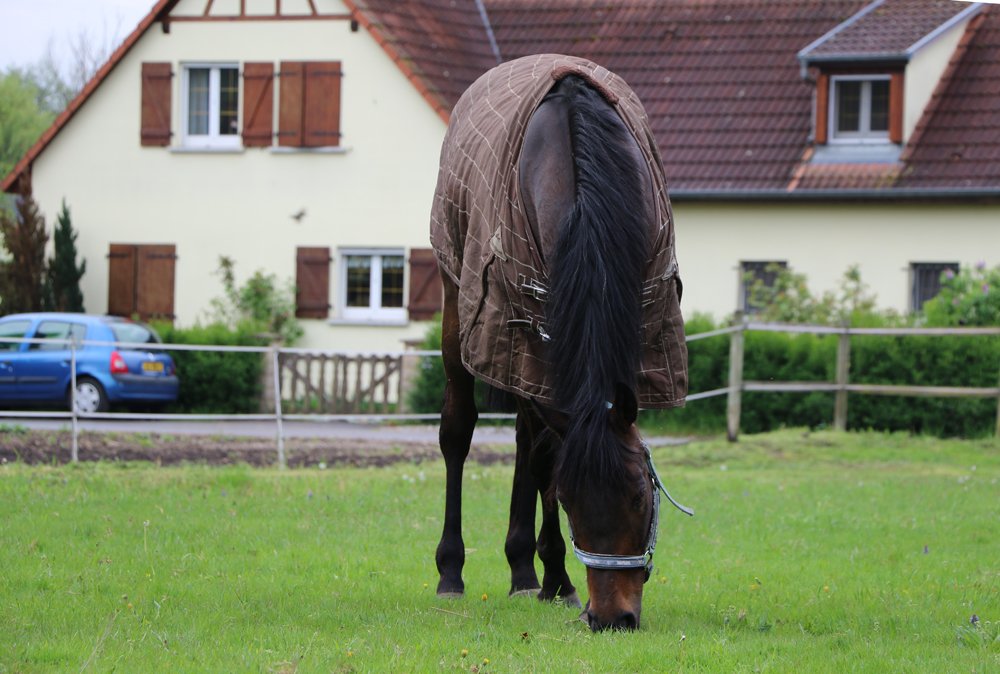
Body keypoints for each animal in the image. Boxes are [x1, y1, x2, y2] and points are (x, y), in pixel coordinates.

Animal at [428, 54, 689, 631]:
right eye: (570, 502)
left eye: (640, 496)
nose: (612, 618)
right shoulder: (523, 330)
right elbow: (548, 460)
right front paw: (556, 575)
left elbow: (543, 452)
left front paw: (549, 577)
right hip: (462, 307)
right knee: (459, 431)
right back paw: (453, 571)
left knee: (528, 439)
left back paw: (523, 569)